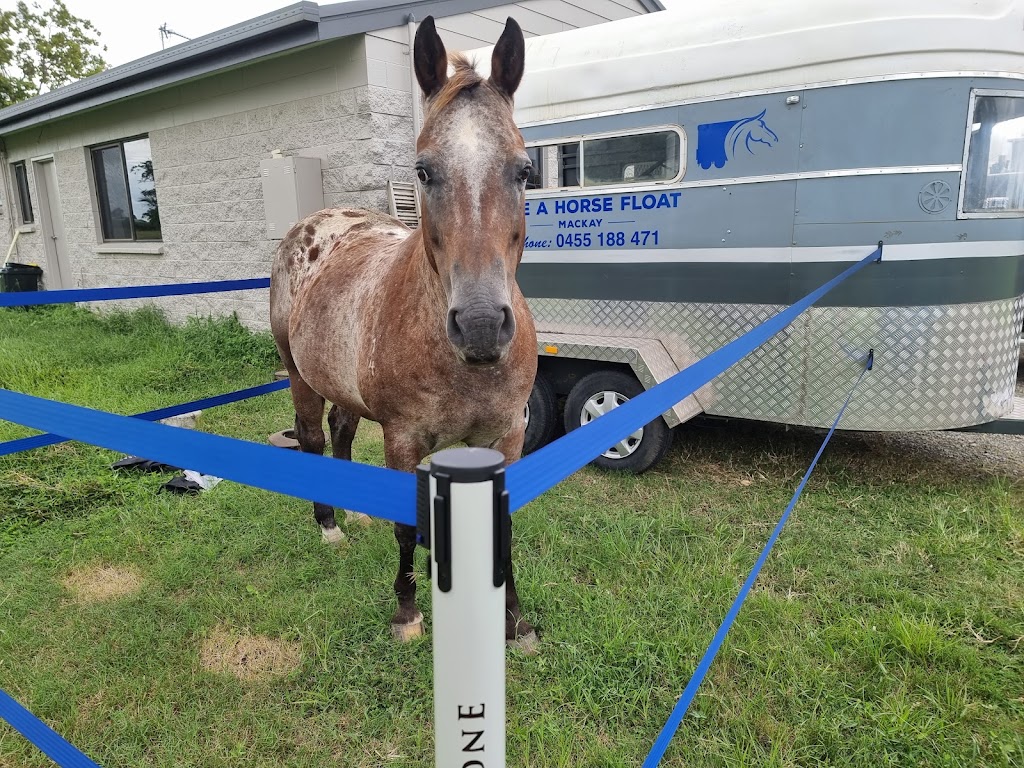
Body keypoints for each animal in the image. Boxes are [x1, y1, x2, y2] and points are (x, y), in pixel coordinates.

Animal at [269, 16, 538, 649]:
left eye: (523, 170)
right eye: (423, 170)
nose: (482, 325)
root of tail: (316, 223)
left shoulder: (507, 438)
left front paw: (514, 621)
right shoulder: (404, 440)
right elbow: (405, 527)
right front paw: (407, 611)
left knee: (341, 432)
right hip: (299, 373)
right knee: (313, 438)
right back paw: (329, 525)